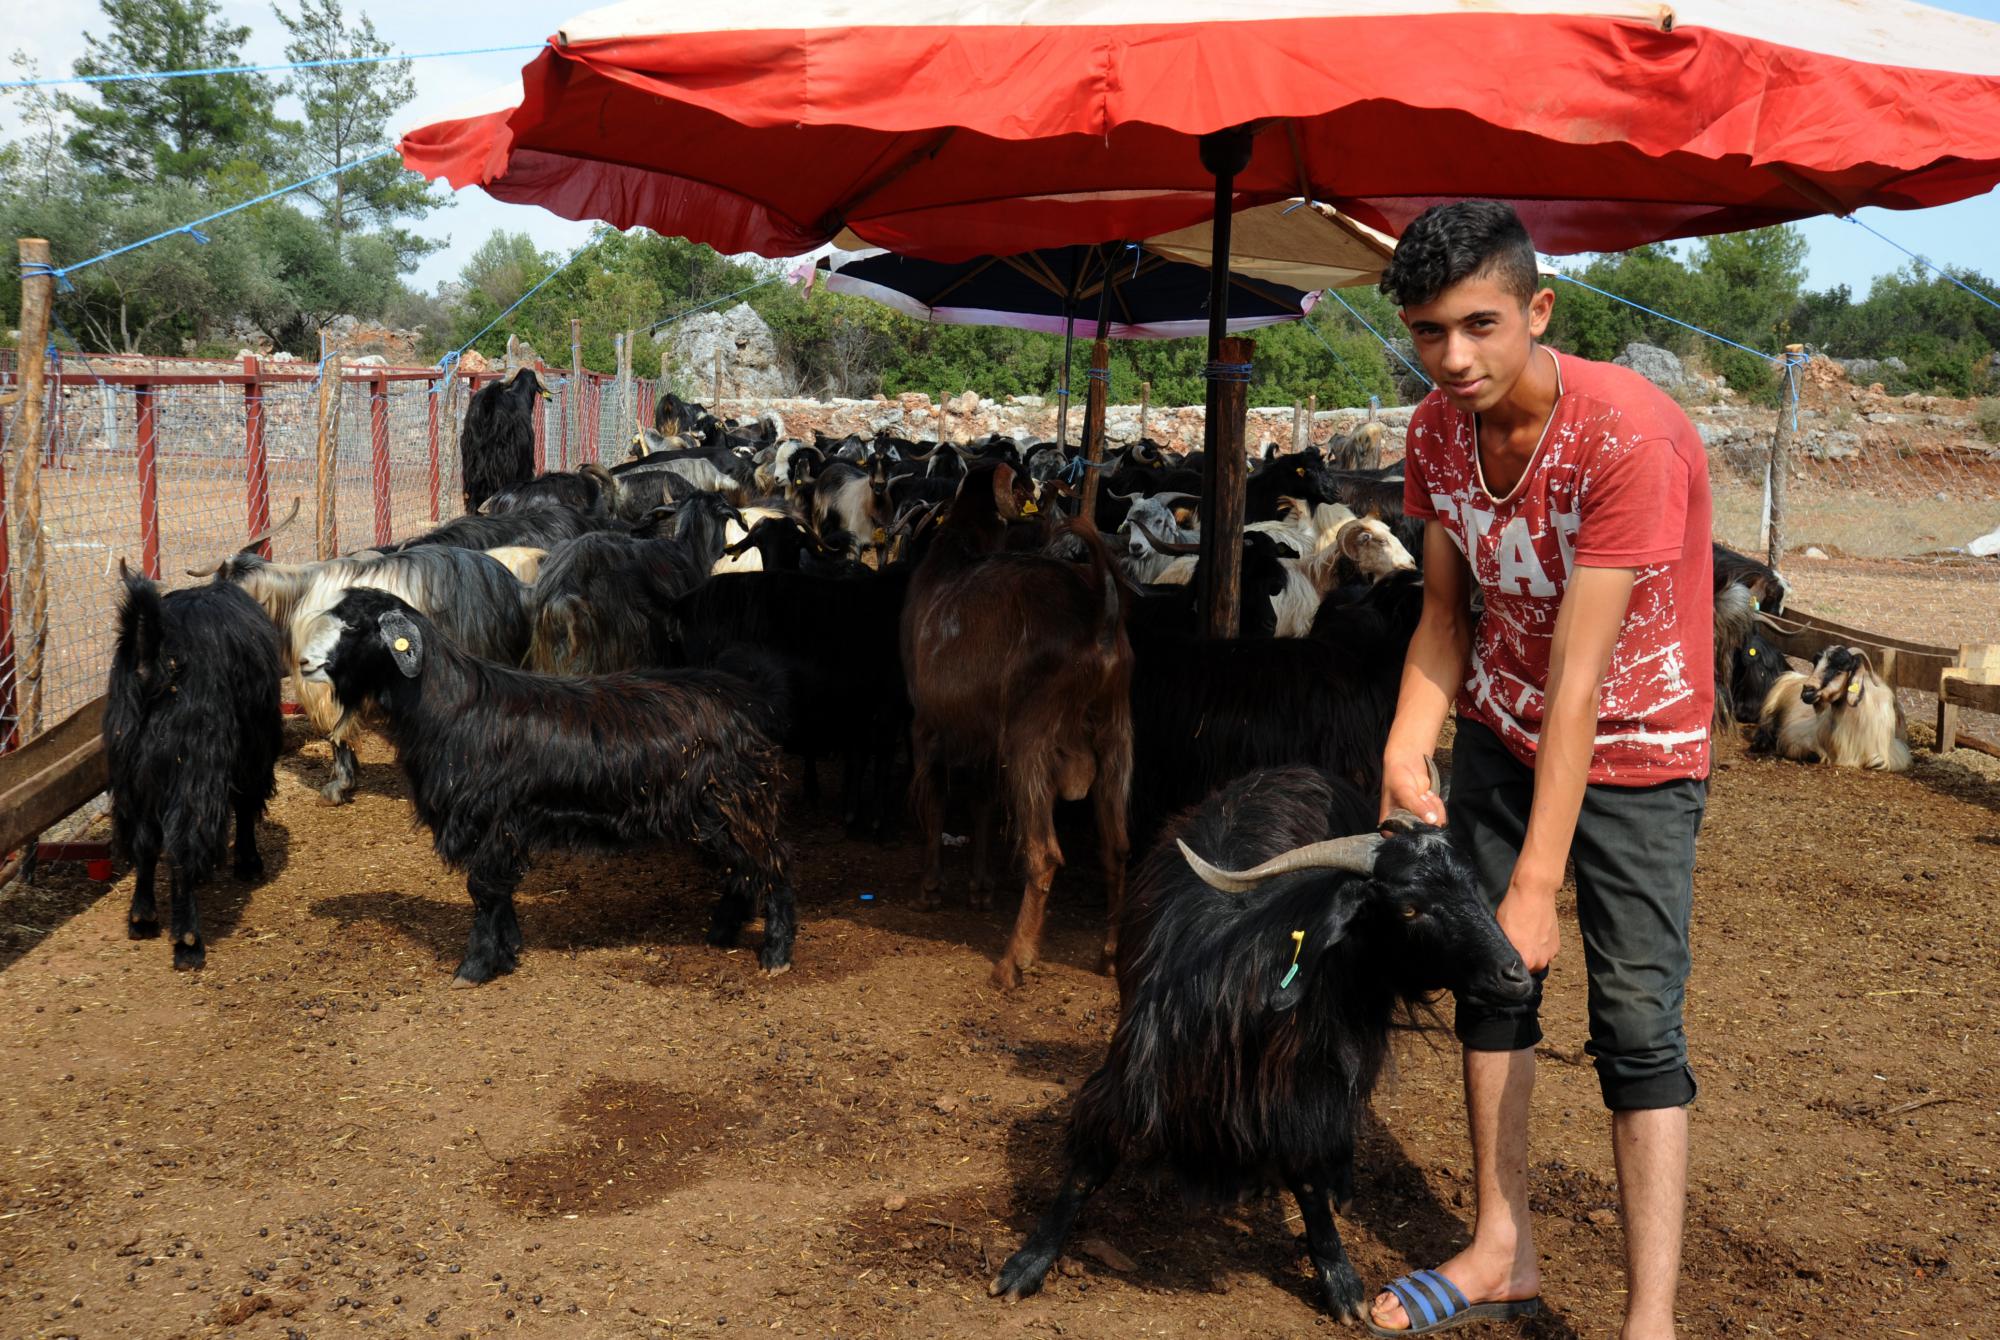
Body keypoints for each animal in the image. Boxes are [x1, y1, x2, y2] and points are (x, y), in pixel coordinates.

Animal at [104, 572, 282, 972]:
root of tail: (150, 658)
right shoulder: (253, 749)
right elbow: (245, 805)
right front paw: (248, 862)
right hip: (194, 767)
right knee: (182, 845)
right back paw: (188, 942)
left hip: (131, 772)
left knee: (143, 841)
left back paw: (142, 918)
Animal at [298, 588, 796, 988]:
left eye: (355, 625)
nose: (303, 663)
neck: (449, 708)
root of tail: (749, 698)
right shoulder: (502, 827)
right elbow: (497, 892)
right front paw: (508, 952)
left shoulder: (492, 819)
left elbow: (483, 890)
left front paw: (474, 967)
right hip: (716, 812)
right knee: (742, 870)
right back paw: (722, 933)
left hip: (739, 800)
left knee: (772, 865)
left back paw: (776, 954)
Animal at [900, 468, 1136, 992]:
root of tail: (1099, 611)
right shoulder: (987, 742)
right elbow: (983, 802)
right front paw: (980, 889)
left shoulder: (928, 726)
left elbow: (935, 800)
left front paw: (929, 889)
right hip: (1115, 739)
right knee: (1117, 848)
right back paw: (1110, 956)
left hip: (1032, 742)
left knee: (1044, 854)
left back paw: (1013, 960)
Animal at [996, 768, 1528, 1320]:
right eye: (1408, 908)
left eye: (1474, 885)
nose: (1516, 975)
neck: (1238, 976)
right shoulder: (1135, 1073)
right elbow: (1088, 1165)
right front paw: (1027, 1262)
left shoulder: (1299, 1090)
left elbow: (1309, 1177)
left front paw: (1342, 1283)